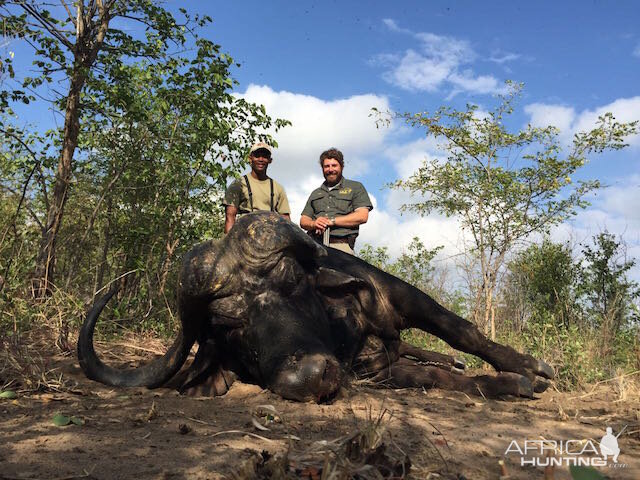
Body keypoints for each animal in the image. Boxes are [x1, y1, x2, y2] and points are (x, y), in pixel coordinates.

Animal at [77, 211, 552, 402]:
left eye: (291, 280)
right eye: (228, 326)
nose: (308, 376)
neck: (341, 328)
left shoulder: (398, 295)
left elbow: (462, 330)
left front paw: (530, 367)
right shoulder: (374, 372)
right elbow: (430, 380)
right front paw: (509, 384)